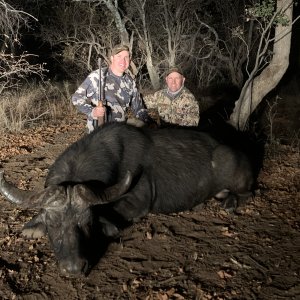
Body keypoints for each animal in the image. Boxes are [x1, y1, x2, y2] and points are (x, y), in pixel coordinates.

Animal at [0, 122, 255, 276]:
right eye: (52, 224)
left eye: (87, 223)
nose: (74, 268)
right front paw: (32, 226)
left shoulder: (136, 205)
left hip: (235, 174)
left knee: (247, 192)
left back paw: (229, 203)